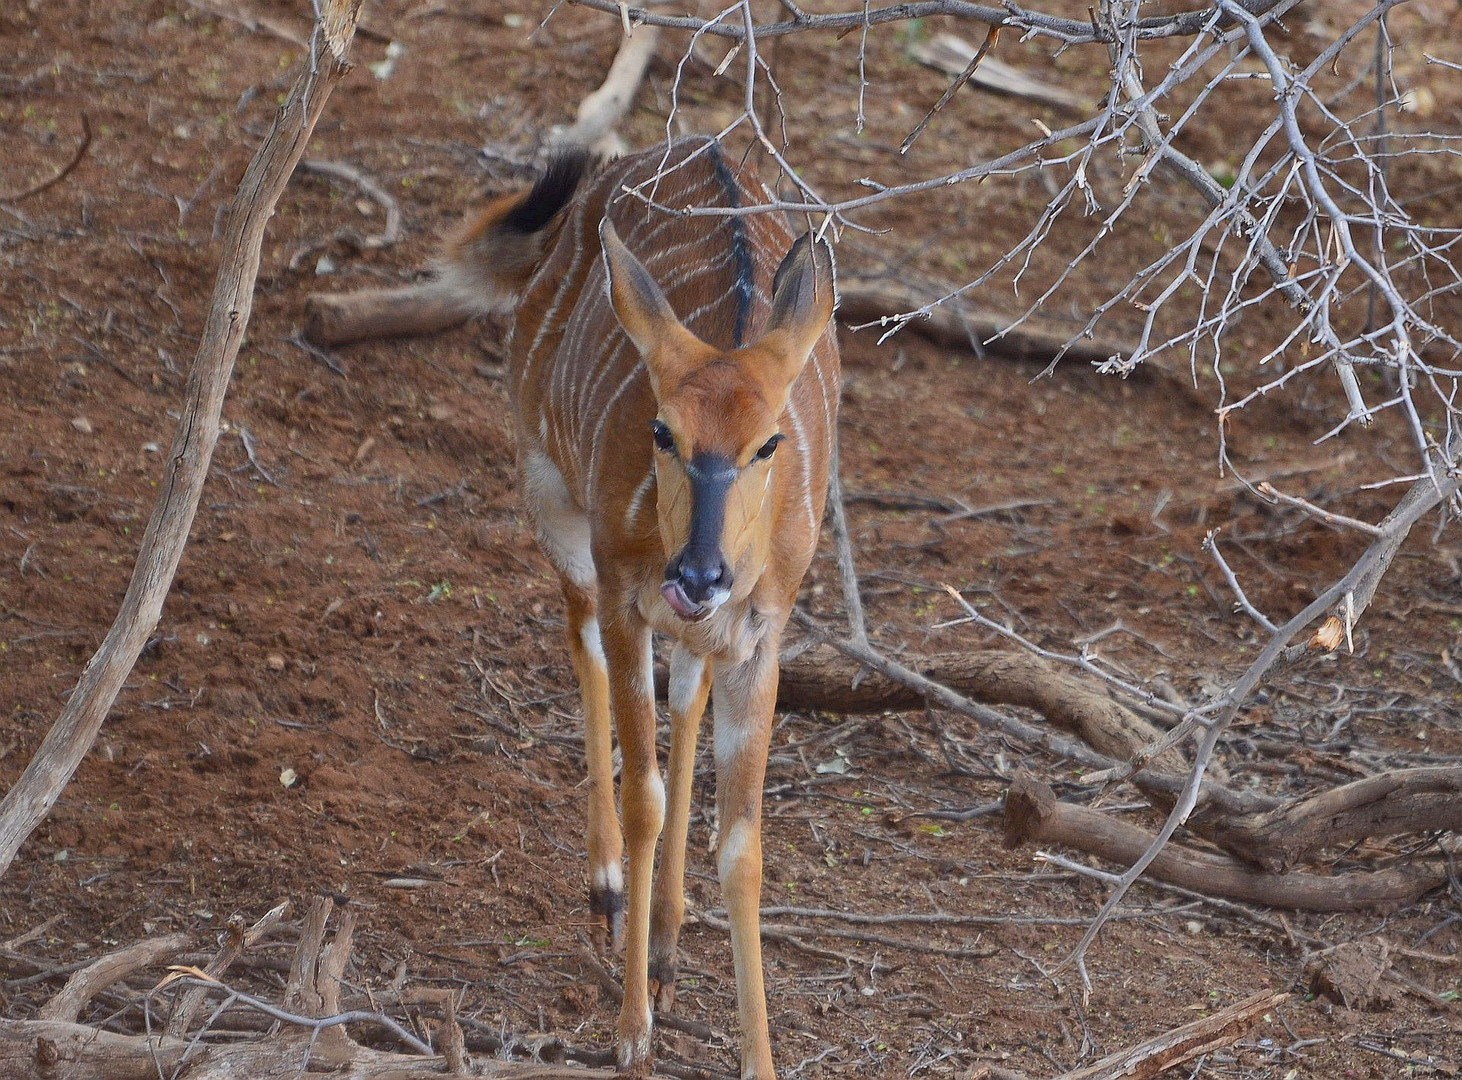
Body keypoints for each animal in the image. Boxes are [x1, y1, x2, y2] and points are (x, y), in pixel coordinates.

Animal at [438, 137, 842, 1080]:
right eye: (662, 432)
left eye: (770, 442)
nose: (698, 573)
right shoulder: (627, 589)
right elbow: (645, 797)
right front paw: (631, 1033)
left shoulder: (761, 636)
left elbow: (744, 845)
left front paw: (755, 1057)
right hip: (550, 494)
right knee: (579, 635)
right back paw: (608, 893)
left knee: (684, 694)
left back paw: (662, 940)